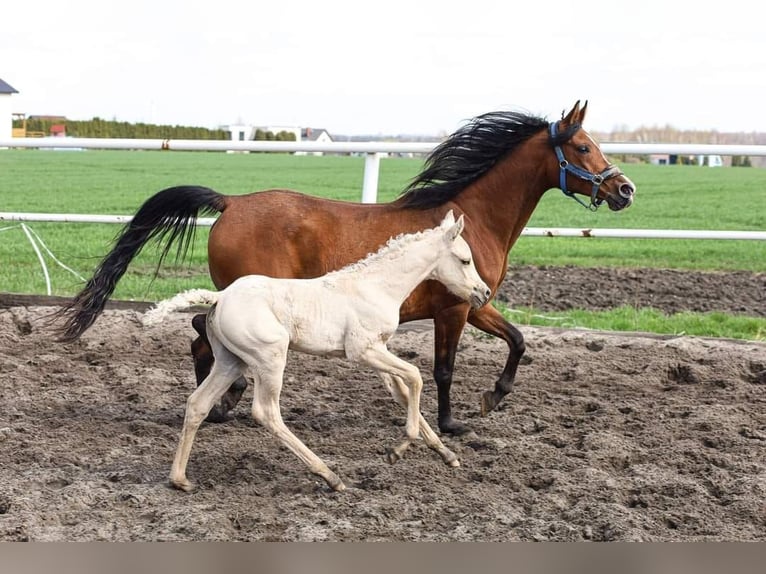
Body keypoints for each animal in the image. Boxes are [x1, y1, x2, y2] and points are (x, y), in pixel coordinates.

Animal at [57, 100, 636, 435]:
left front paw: (494, 397)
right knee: (202, 332)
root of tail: (232, 201)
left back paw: (225, 401)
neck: (471, 219)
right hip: (248, 299)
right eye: (582, 146)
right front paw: (453, 423)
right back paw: (226, 402)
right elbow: (444, 368)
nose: (625, 189)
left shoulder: (474, 304)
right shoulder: (452, 310)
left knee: (202, 335)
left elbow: (518, 339)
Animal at [143, 211, 491, 492]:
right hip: (270, 357)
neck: (376, 286)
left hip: (232, 361)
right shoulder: (363, 350)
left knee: (197, 404)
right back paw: (329, 476)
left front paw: (446, 453)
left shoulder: (378, 350)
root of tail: (220, 296)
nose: (485, 293)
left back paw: (180, 479)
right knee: (266, 412)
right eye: (465, 260)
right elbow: (415, 377)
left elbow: (403, 391)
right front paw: (399, 448)